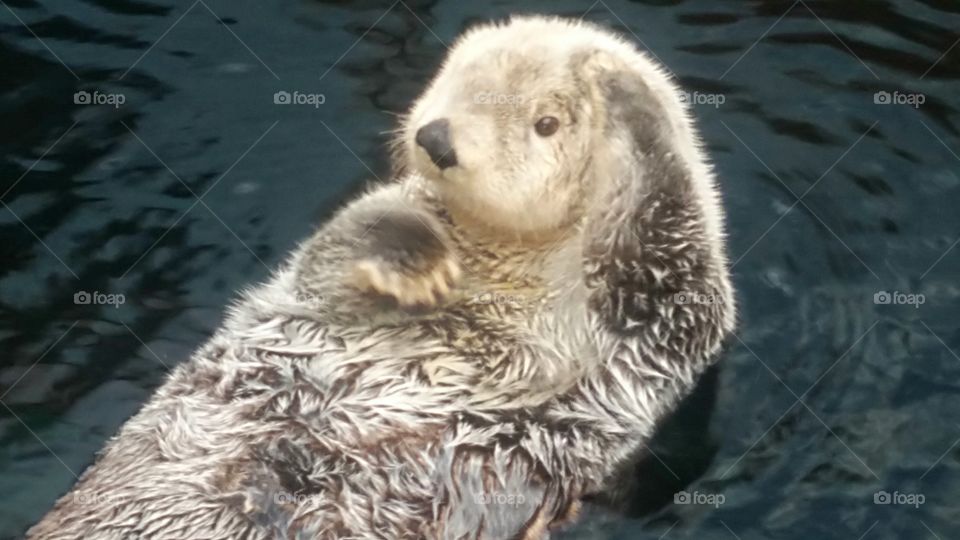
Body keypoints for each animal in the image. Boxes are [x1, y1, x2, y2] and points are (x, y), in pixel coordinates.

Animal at [28, 16, 735, 540]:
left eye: (546, 123)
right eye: (459, 76)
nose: (438, 139)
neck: (513, 267)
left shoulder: (661, 324)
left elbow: (665, 246)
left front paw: (621, 96)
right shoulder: (331, 275)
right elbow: (339, 248)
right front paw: (416, 262)